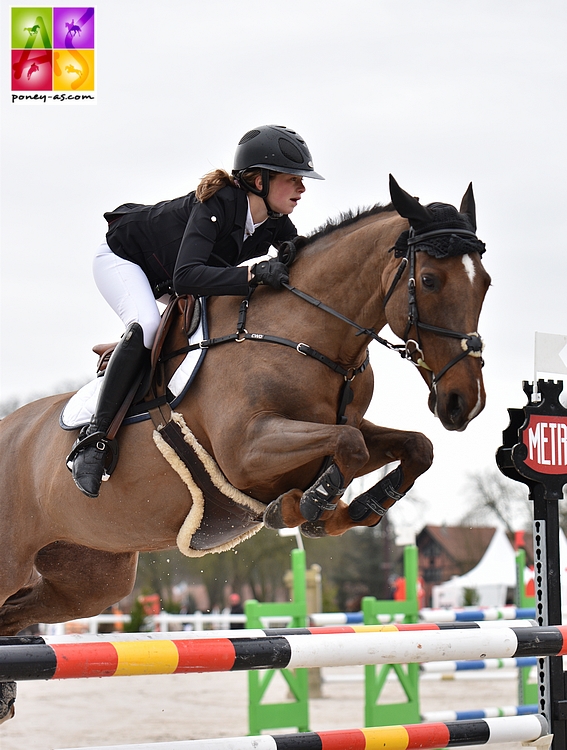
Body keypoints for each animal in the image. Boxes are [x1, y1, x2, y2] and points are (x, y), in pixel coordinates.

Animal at [0, 176, 492, 724]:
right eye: (428, 280)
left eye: (485, 284)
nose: (464, 403)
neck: (304, 333)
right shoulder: (247, 450)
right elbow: (350, 448)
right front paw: (311, 507)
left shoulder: (341, 427)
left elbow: (412, 447)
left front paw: (356, 507)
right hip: (15, 561)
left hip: (90, 578)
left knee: (16, 614)